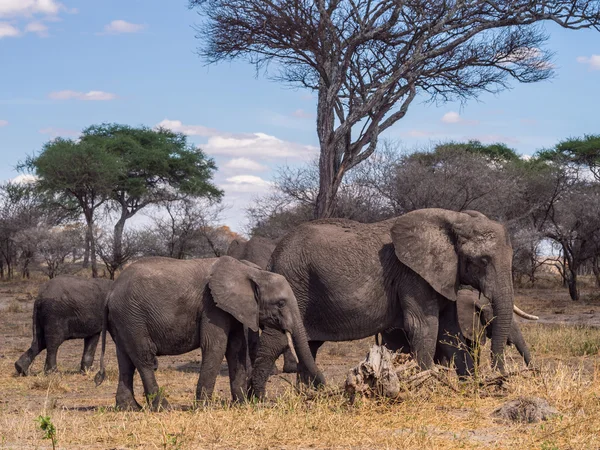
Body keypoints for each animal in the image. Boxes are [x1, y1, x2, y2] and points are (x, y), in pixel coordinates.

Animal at [251, 209, 516, 396]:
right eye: (482, 261)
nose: (500, 378)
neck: (454, 220)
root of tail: (273, 256)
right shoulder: (412, 275)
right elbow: (423, 326)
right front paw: (427, 387)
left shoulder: (444, 275)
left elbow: (449, 333)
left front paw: (469, 386)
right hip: (292, 284)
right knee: (275, 341)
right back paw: (258, 401)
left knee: (309, 345)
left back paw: (308, 396)